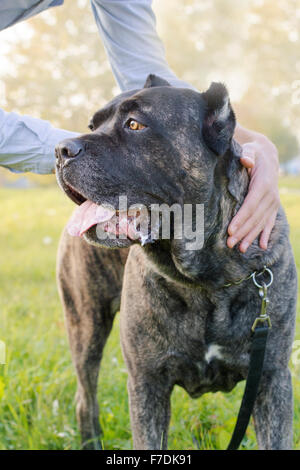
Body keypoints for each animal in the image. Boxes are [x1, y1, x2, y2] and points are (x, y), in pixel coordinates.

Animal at [55, 75, 296, 450]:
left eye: (135, 124)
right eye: (93, 126)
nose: (61, 149)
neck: (206, 279)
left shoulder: (271, 379)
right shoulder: (147, 383)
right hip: (85, 324)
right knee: (85, 398)